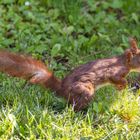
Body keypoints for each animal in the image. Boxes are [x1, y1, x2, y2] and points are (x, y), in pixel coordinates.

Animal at [0, 37, 139, 111]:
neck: (123, 61)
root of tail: (62, 90)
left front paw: (120, 88)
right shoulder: (114, 71)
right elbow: (115, 77)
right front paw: (124, 84)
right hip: (84, 90)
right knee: (73, 106)